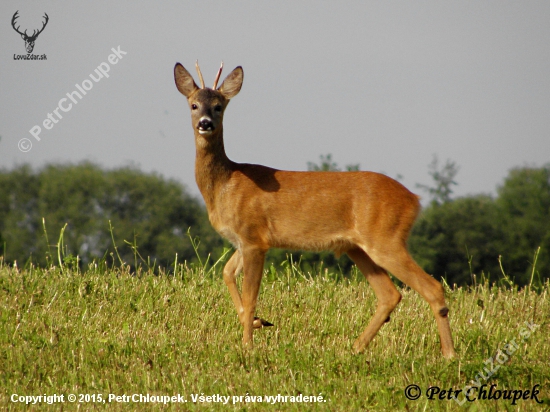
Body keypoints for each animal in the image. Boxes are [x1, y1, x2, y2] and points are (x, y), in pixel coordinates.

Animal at [176, 60, 458, 358]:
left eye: (219, 106)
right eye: (194, 104)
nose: (205, 123)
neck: (226, 183)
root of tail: (414, 199)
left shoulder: (254, 237)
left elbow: (250, 295)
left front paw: (248, 346)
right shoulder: (243, 241)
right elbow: (226, 273)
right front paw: (257, 322)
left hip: (386, 238)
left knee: (432, 287)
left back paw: (449, 354)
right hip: (358, 247)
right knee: (390, 294)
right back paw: (355, 347)